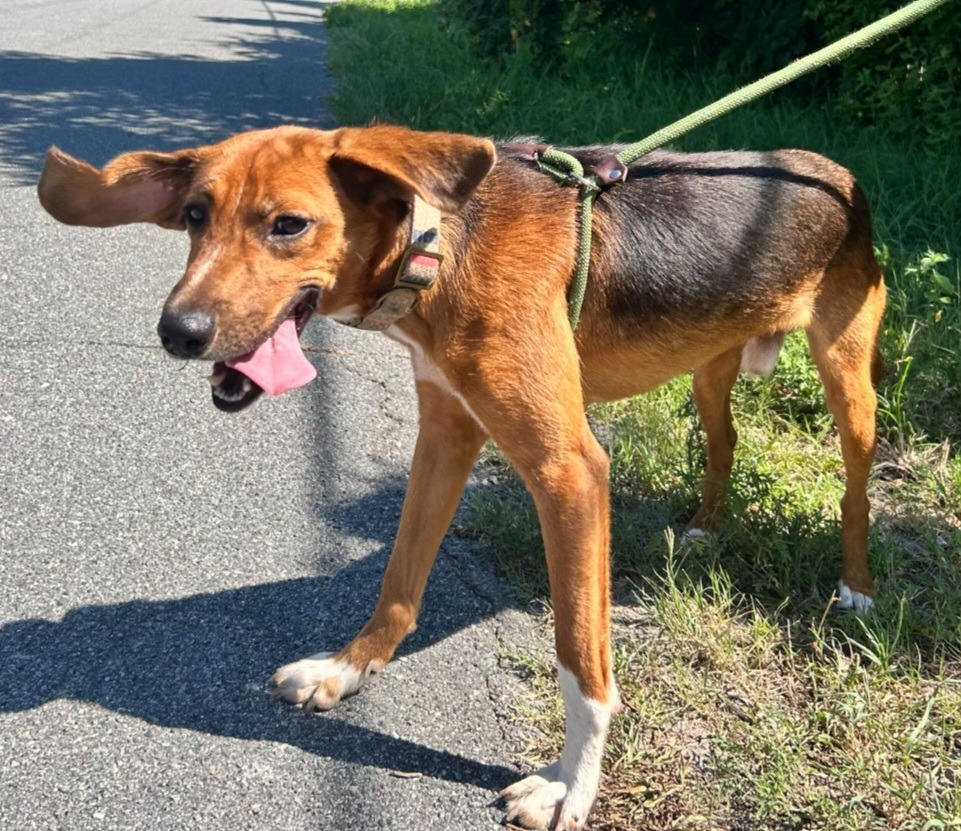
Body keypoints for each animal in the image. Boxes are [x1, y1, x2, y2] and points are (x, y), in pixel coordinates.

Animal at [37, 125, 884, 831]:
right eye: (192, 215)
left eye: (287, 225)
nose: (177, 332)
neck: (438, 251)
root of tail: (833, 167)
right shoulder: (444, 436)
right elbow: (399, 580)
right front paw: (346, 670)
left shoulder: (568, 472)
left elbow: (581, 660)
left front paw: (571, 785)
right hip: (709, 366)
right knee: (724, 441)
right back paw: (706, 526)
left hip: (849, 380)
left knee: (854, 488)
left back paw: (854, 587)